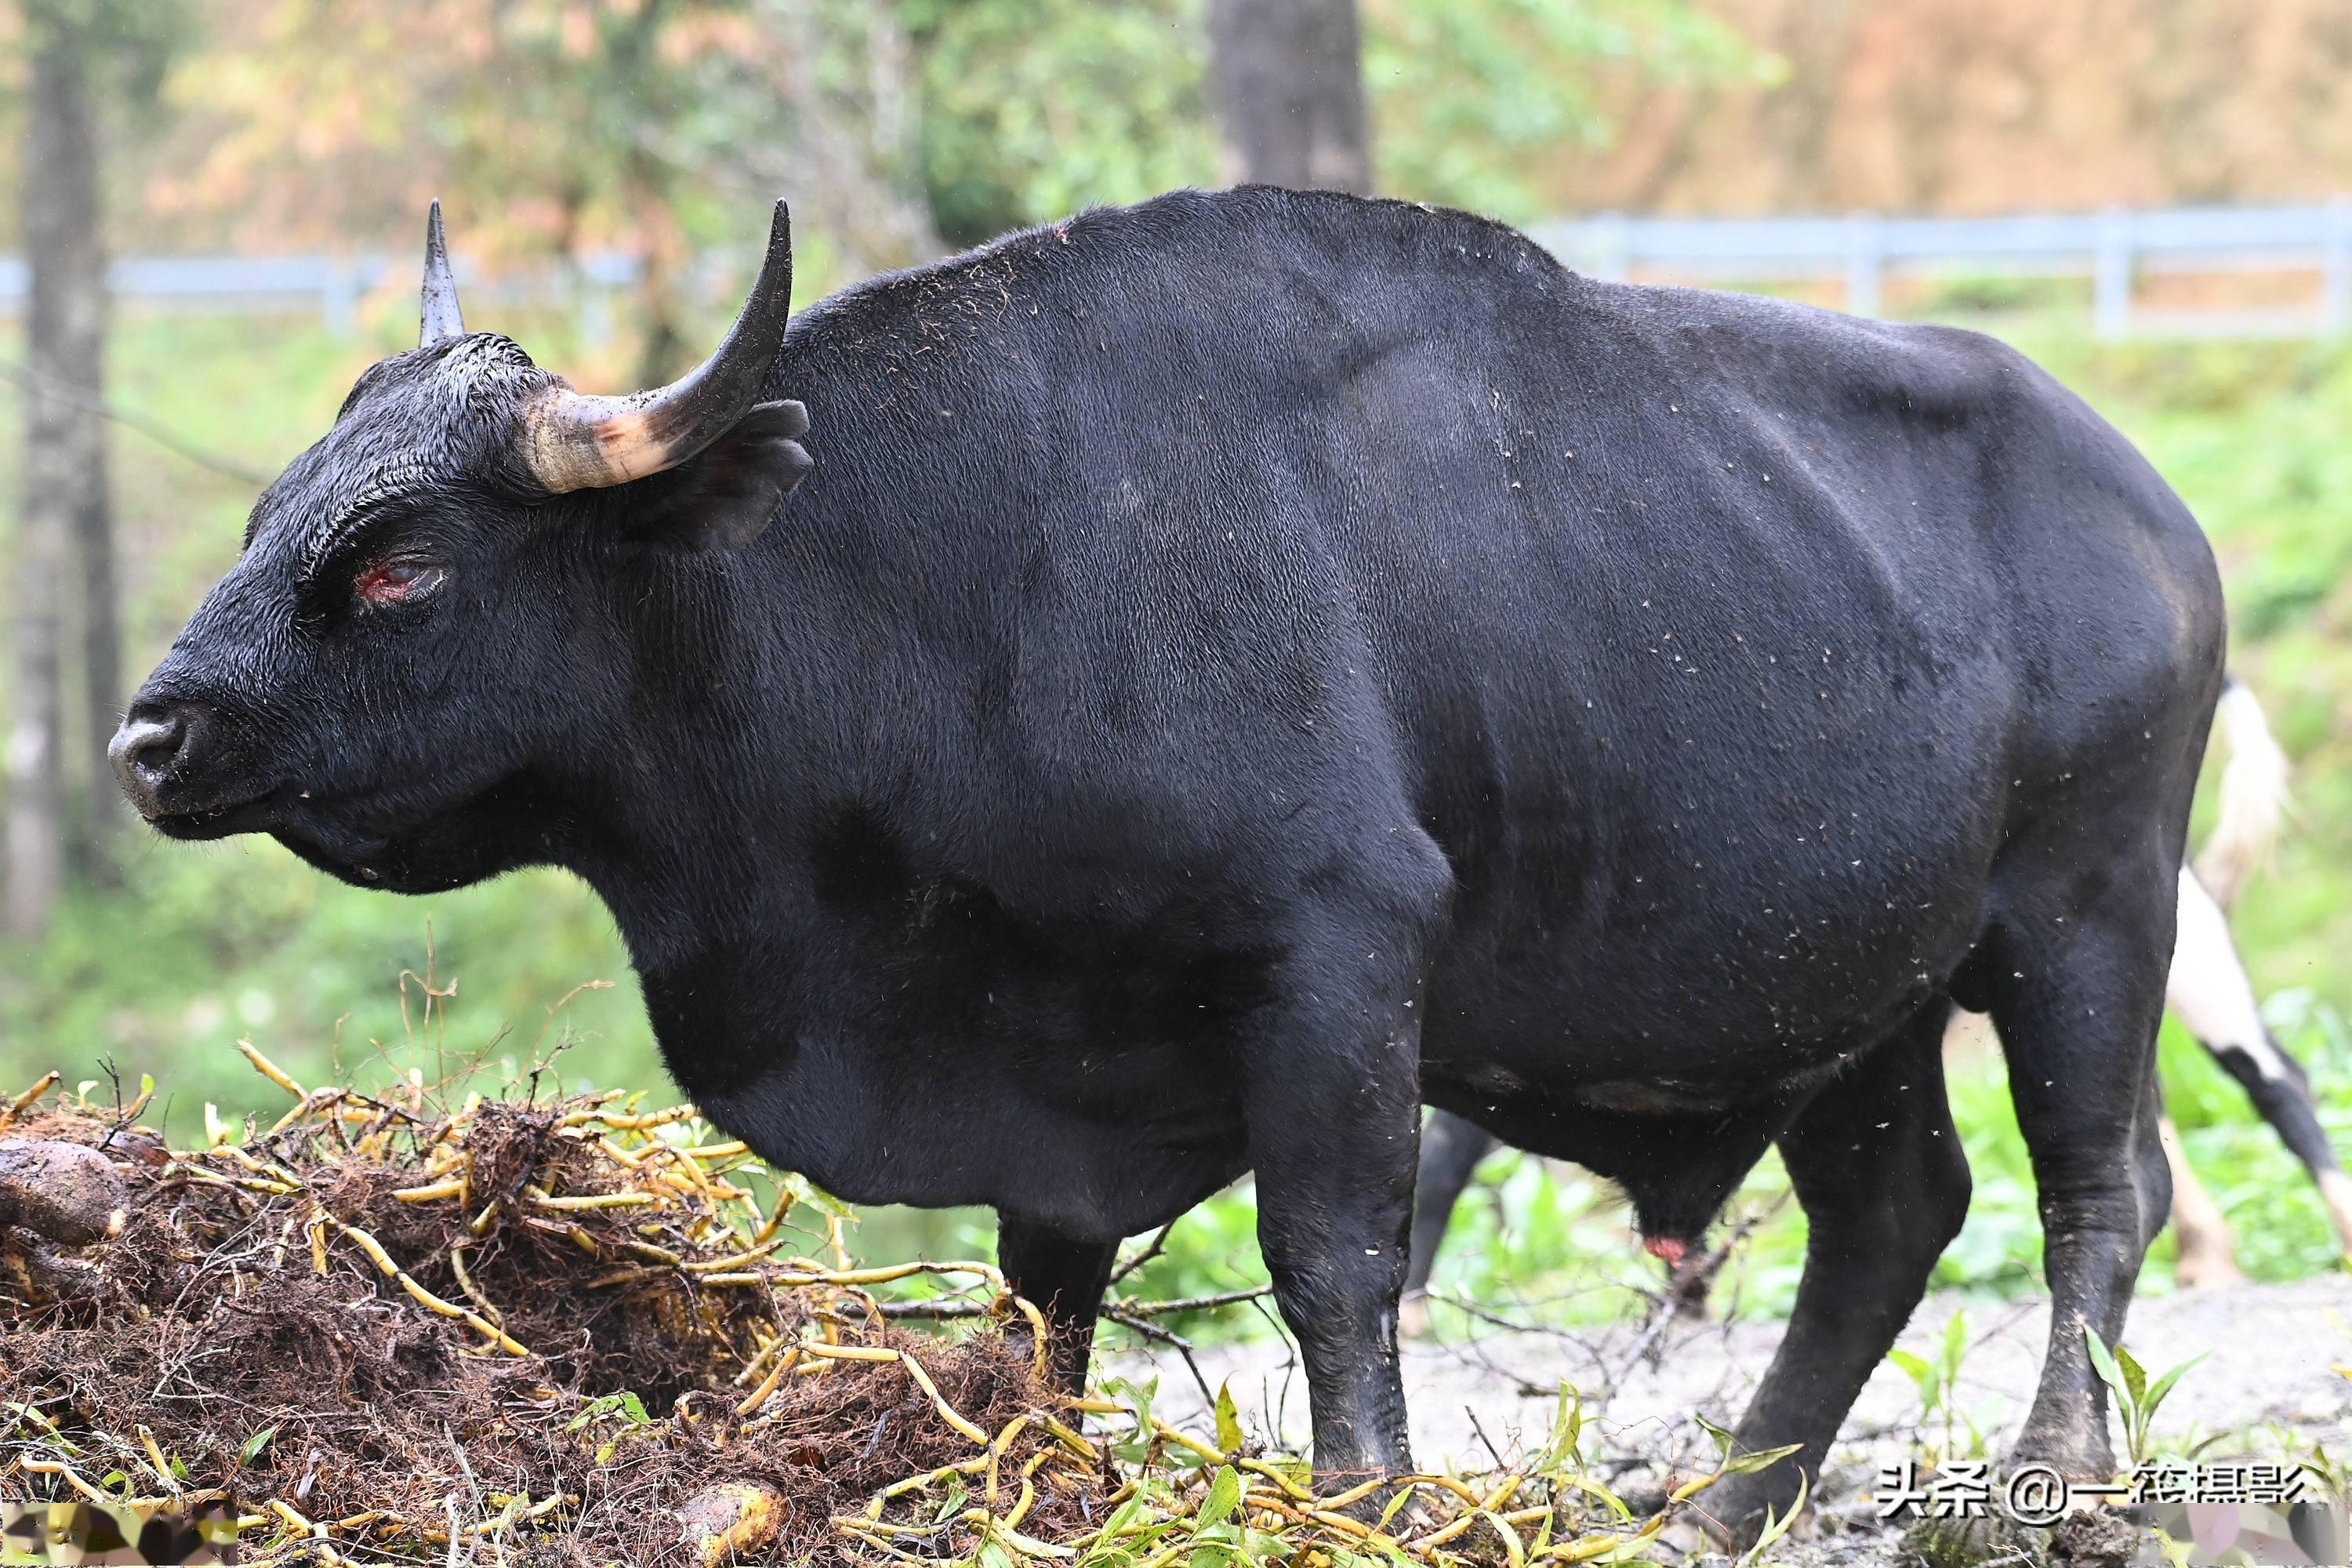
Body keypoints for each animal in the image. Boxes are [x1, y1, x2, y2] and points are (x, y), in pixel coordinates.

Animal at [114, 187, 2220, 1533]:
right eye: (274, 511)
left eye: (400, 559)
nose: (153, 734)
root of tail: (2146, 501)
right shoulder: (1042, 1068)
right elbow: (1040, 1292)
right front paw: (1030, 1476)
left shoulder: (1335, 961)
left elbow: (1335, 1257)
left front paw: (1363, 1499)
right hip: (1853, 1000)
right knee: (1891, 1220)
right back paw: (1719, 1503)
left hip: (2086, 917)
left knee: (2092, 1192)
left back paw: (2049, 1479)